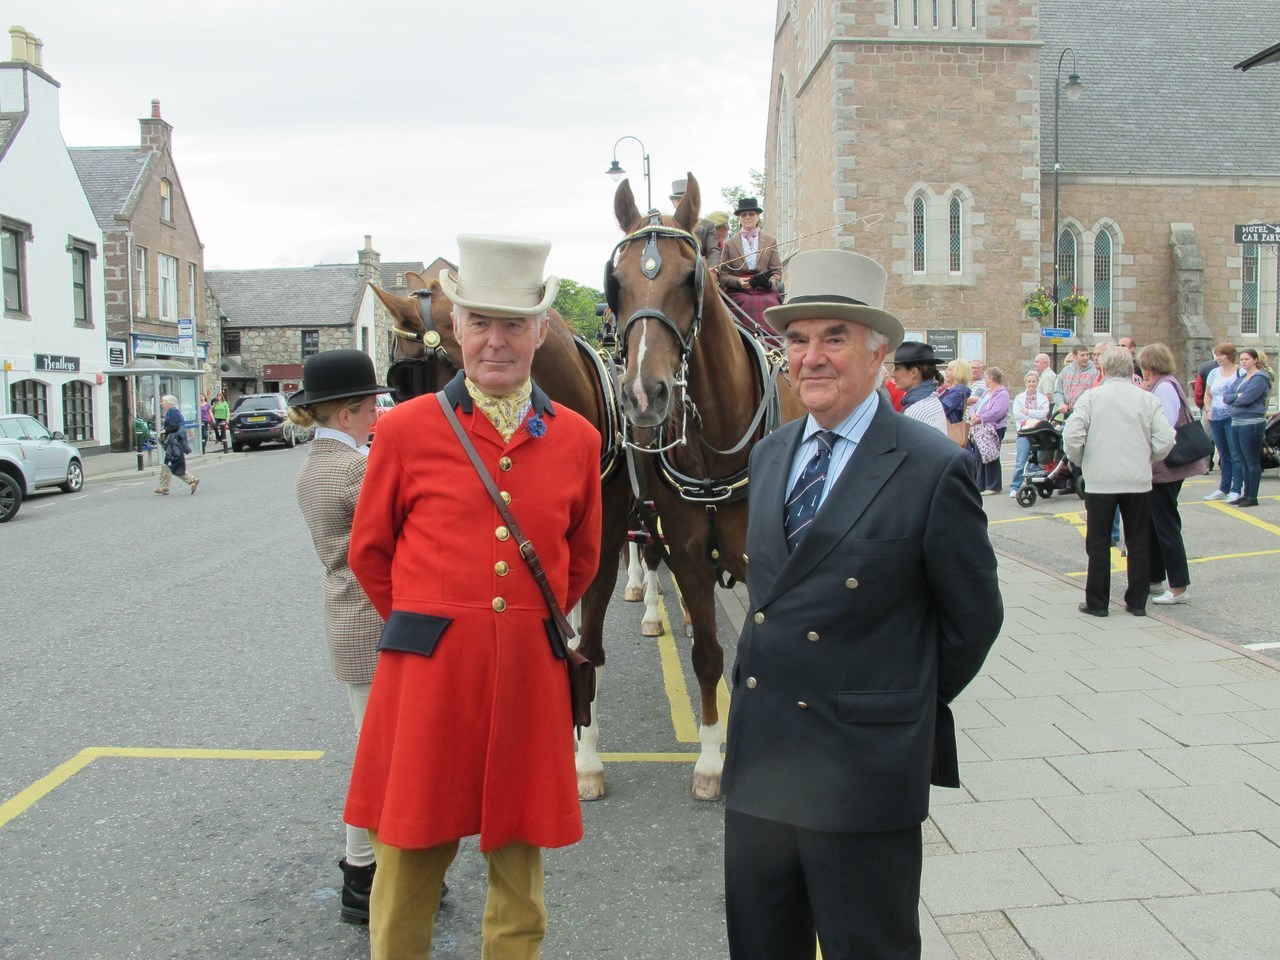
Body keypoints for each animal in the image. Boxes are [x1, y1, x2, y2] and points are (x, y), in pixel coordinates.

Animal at [606, 172, 803, 798]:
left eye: (688, 276)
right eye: (616, 283)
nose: (643, 396)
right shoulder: (689, 555)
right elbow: (709, 657)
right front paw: (713, 759)